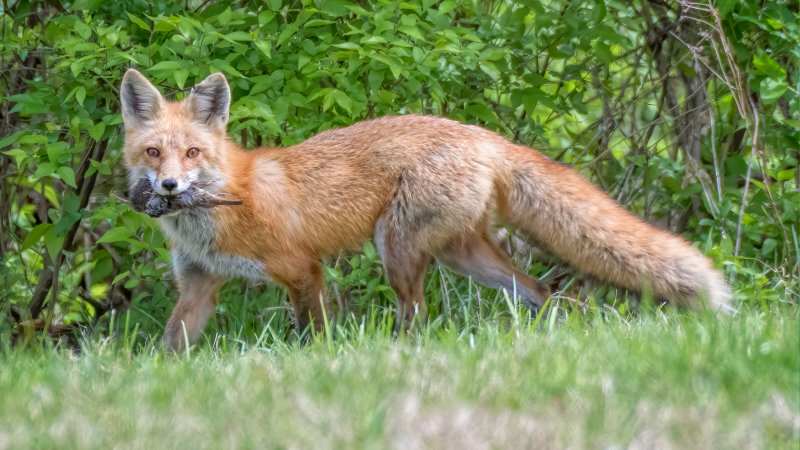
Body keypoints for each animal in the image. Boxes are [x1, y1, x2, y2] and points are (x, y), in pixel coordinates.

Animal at [117, 70, 732, 350]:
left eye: (193, 153)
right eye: (153, 152)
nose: (168, 186)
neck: (212, 213)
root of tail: (484, 136)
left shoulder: (302, 270)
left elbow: (313, 335)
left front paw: (319, 365)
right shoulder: (199, 287)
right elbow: (169, 348)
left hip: (397, 248)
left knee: (418, 317)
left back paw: (395, 357)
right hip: (464, 255)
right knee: (543, 293)